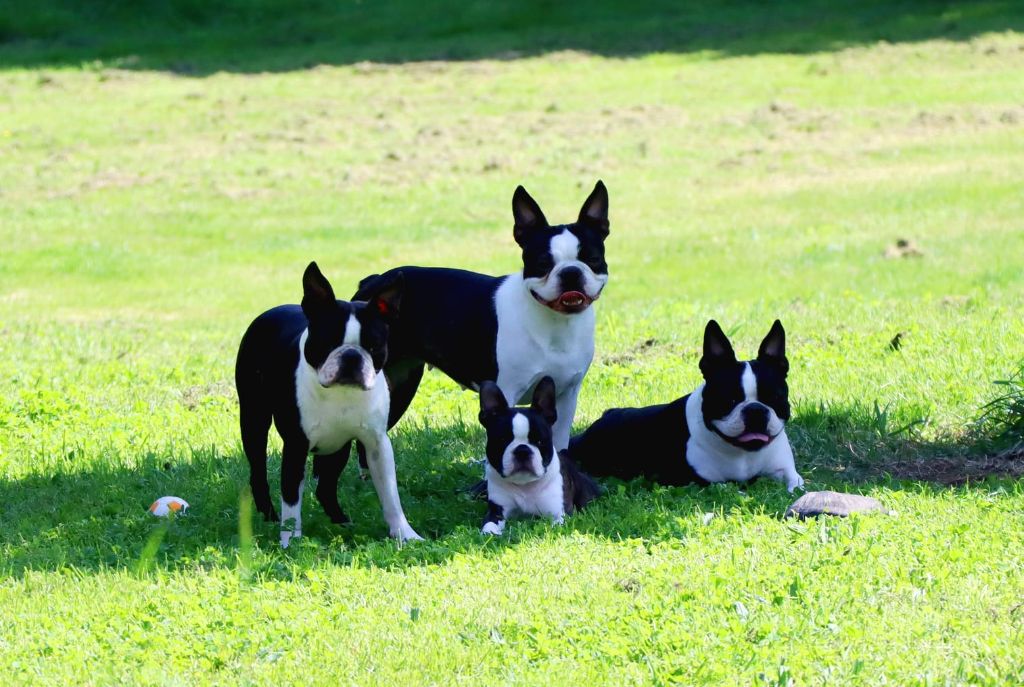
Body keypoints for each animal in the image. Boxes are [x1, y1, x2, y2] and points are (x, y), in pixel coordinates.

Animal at [234, 261, 419, 544]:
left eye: (374, 346)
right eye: (328, 342)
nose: (352, 356)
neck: (340, 394)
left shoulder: (377, 444)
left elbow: (391, 495)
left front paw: (405, 534)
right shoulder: (296, 445)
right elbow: (291, 498)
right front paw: (291, 542)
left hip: (338, 446)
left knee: (326, 486)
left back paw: (341, 521)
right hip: (254, 420)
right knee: (259, 475)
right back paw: (270, 517)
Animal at [352, 180, 606, 454]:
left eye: (593, 260)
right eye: (542, 264)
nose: (571, 272)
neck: (556, 324)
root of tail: (374, 280)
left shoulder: (566, 396)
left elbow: (559, 446)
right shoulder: (506, 391)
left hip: (401, 383)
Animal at [477, 378, 598, 536]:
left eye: (540, 441)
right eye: (502, 441)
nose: (522, 450)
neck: (524, 486)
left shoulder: (560, 513)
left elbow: (555, 526)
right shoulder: (497, 509)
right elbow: (489, 523)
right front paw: (489, 533)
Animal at [565, 319, 802, 491]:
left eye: (774, 399)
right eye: (729, 400)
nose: (755, 410)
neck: (742, 453)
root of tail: (607, 414)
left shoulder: (785, 469)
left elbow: (797, 484)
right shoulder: (697, 480)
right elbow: (727, 487)